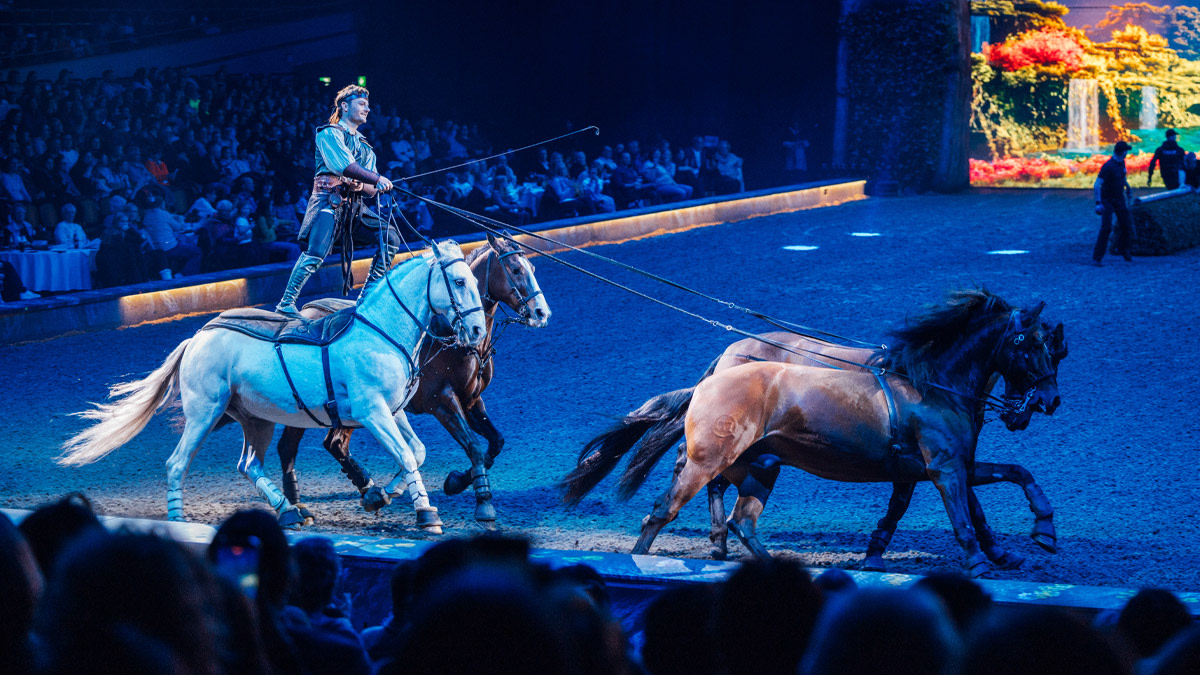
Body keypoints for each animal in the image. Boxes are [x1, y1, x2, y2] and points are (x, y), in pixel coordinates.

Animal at [59, 240, 487, 533]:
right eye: (459, 280)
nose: (477, 331)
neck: (379, 331)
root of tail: (197, 338)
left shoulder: (393, 412)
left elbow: (416, 452)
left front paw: (382, 494)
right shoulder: (373, 413)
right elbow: (407, 454)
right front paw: (426, 513)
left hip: (256, 420)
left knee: (249, 463)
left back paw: (289, 510)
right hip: (205, 413)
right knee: (178, 462)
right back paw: (182, 521)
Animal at [274, 232, 551, 528]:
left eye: (533, 268)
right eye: (516, 269)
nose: (541, 312)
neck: (454, 340)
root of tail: (306, 310)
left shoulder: (472, 401)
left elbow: (495, 442)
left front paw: (455, 481)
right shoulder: (442, 403)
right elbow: (474, 446)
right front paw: (483, 503)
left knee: (334, 444)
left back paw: (370, 490)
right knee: (291, 447)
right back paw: (299, 506)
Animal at [563, 289, 1061, 577]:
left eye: (1056, 348)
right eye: (1035, 343)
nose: (1048, 401)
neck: (930, 382)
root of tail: (712, 377)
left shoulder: (948, 465)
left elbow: (1013, 476)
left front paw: (1038, 533)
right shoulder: (943, 468)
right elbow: (962, 515)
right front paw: (980, 560)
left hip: (760, 468)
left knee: (741, 521)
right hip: (710, 460)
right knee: (663, 512)